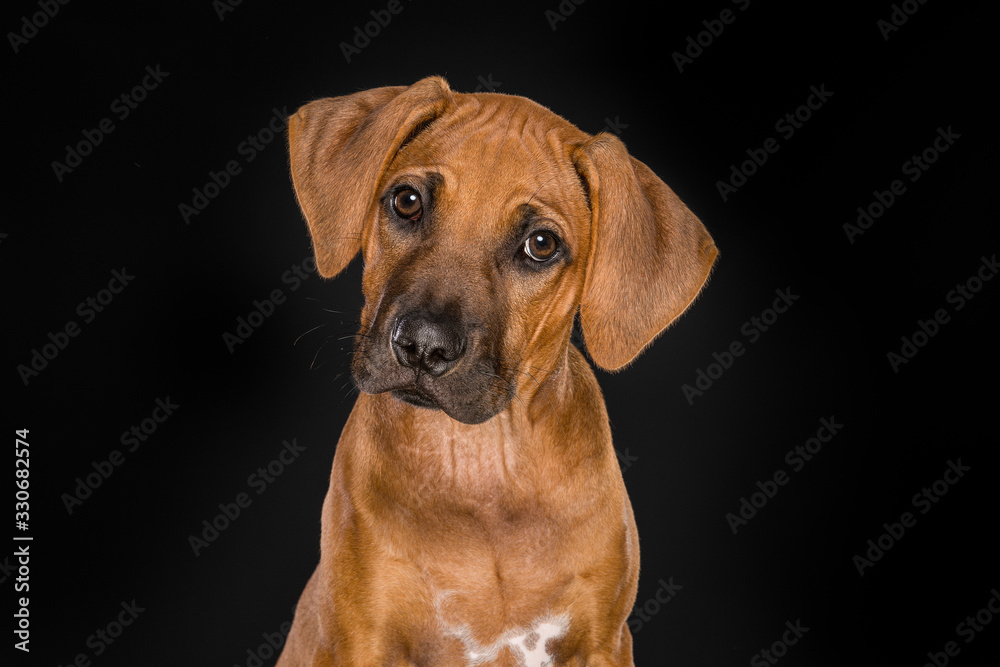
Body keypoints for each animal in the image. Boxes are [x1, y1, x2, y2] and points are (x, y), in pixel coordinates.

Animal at [280, 75, 720, 664]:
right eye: (407, 201)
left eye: (541, 245)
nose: (422, 347)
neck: (482, 462)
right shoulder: (359, 638)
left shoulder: (604, 641)